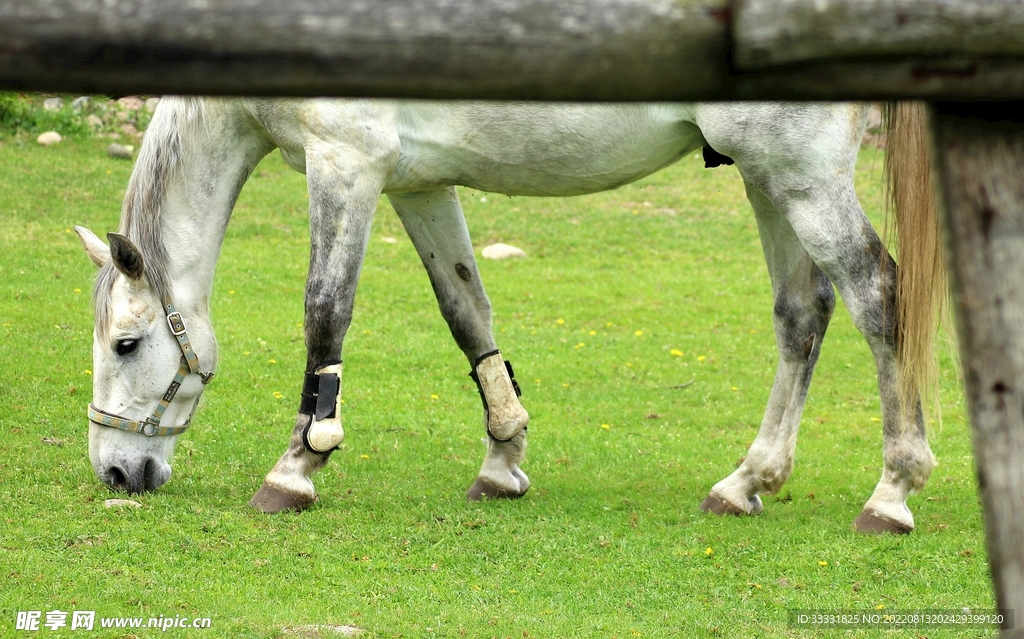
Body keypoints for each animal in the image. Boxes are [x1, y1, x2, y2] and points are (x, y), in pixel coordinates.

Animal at [75, 97, 940, 534]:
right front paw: (503, 457)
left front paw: (295, 468)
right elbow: (467, 311)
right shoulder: (416, 183)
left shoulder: (345, 163)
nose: (117, 472)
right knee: (803, 313)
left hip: (800, 176)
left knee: (877, 296)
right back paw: (747, 480)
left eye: (128, 343)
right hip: (767, 176)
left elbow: (326, 313)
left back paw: (891, 492)